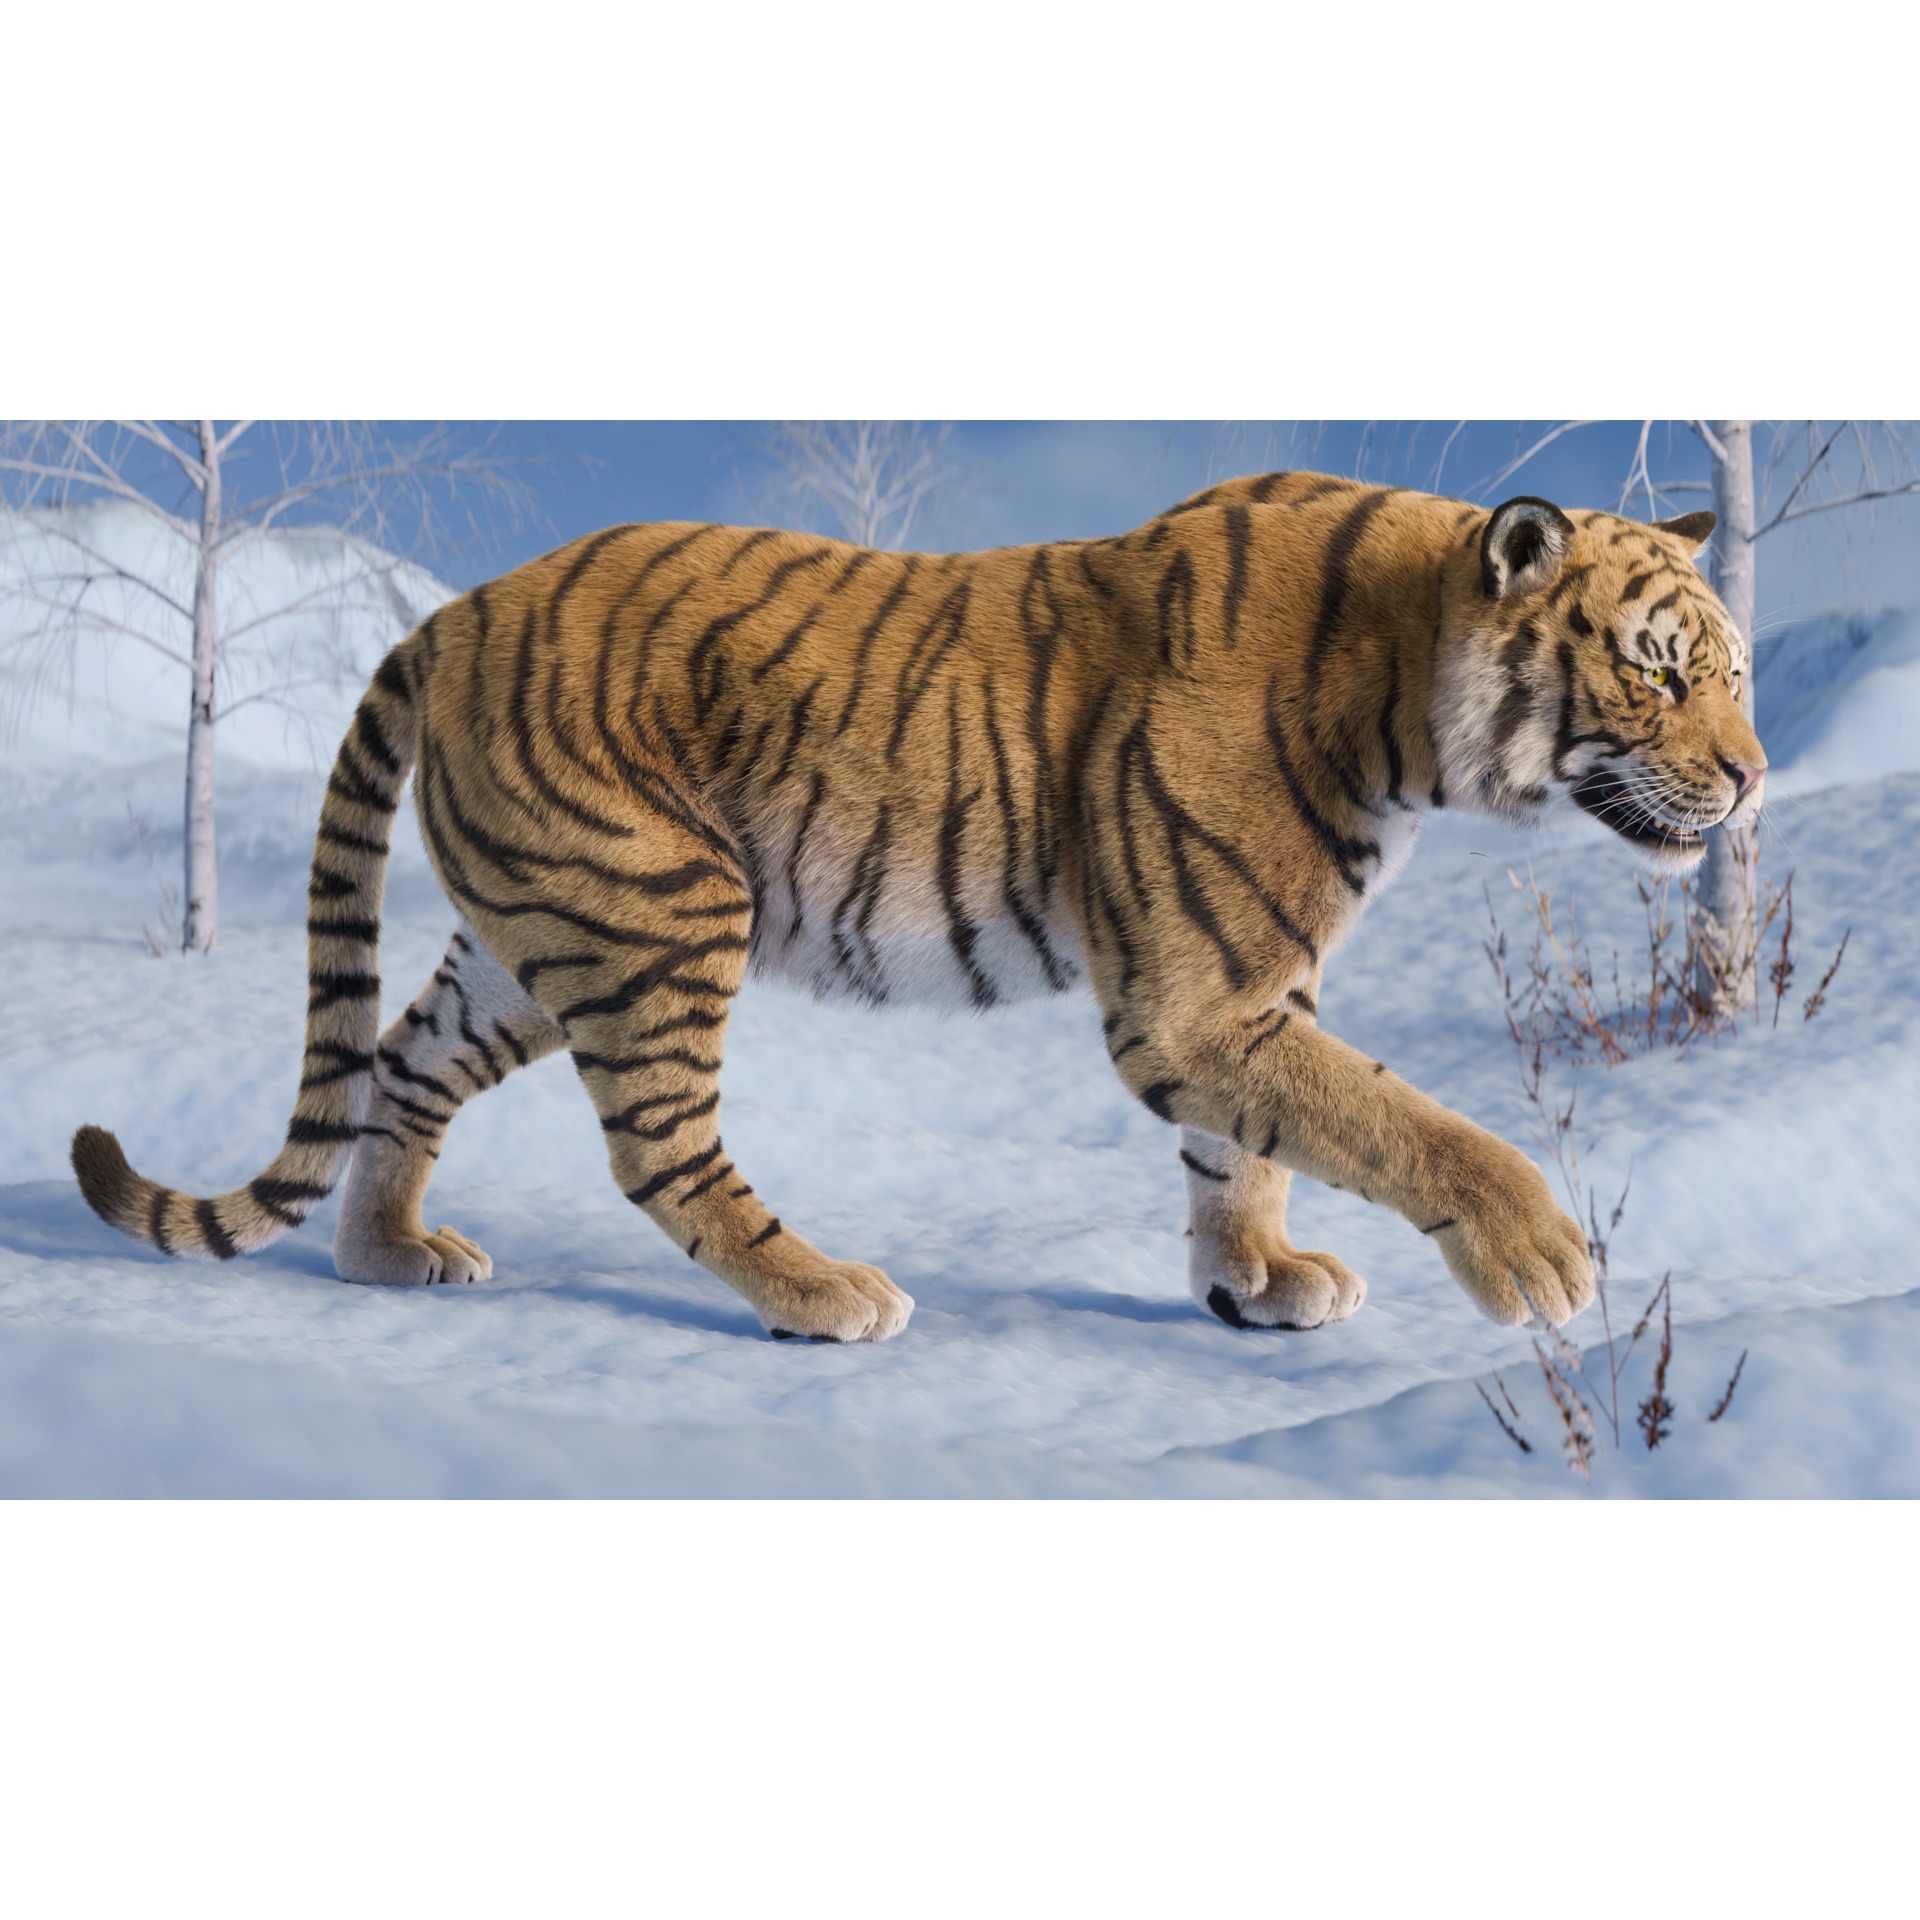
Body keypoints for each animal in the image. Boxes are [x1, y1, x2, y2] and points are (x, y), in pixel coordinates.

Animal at [70, 471, 1767, 1344]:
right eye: (1662, 668)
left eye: (1734, 673)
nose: (1753, 782)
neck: (1410, 709)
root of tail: (459, 605)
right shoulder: (1194, 997)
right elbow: (1397, 1120)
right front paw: (1538, 1258)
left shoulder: (1246, 988)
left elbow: (1258, 1148)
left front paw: (1253, 1283)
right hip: (660, 909)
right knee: (659, 1150)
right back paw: (823, 1293)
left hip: (535, 936)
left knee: (400, 1064)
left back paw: (388, 1255)